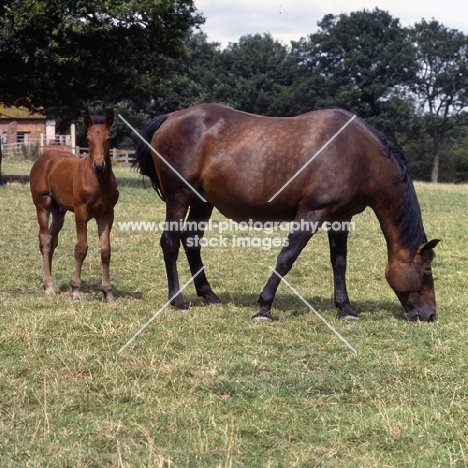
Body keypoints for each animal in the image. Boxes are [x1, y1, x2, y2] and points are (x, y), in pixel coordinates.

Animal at [29, 109, 119, 302]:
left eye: (108, 138)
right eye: (88, 139)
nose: (99, 165)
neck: (98, 182)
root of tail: (44, 158)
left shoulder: (107, 215)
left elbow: (105, 251)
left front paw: (108, 292)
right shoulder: (81, 212)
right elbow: (81, 249)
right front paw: (76, 291)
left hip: (59, 211)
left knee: (52, 239)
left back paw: (48, 283)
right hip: (42, 205)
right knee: (45, 239)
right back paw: (49, 286)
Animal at [133, 103, 438, 322]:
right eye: (426, 273)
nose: (430, 315)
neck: (358, 154)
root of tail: (171, 118)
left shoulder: (340, 218)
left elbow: (339, 262)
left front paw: (346, 309)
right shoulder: (312, 214)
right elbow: (286, 258)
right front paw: (264, 307)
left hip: (202, 201)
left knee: (191, 242)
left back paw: (208, 295)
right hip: (179, 198)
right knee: (170, 243)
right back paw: (177, 300)